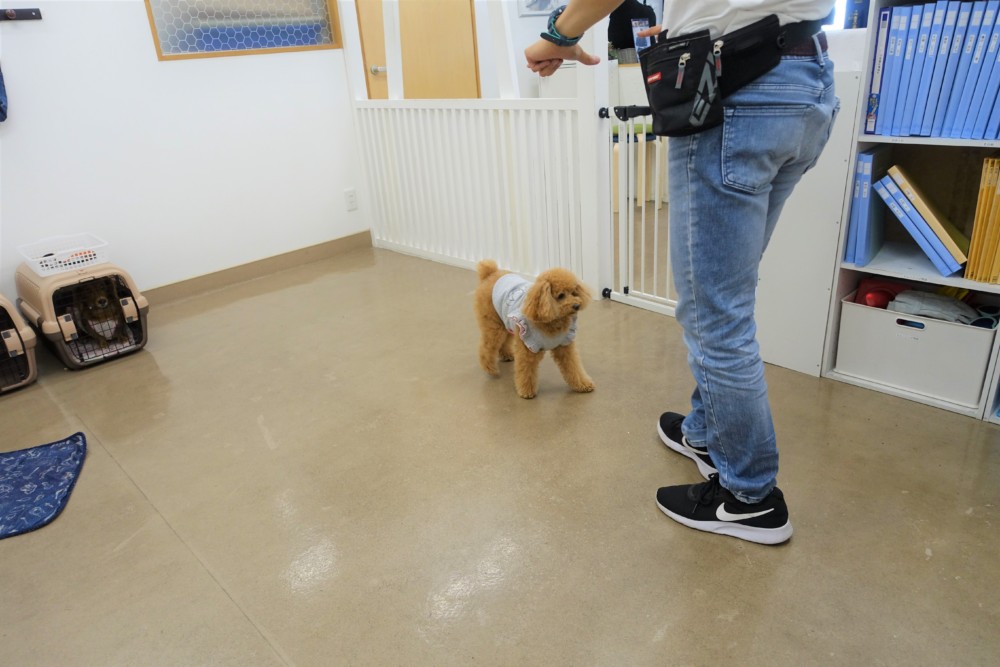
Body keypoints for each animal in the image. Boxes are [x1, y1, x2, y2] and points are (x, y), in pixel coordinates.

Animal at [474, 259, 594, 399]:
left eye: (574, 292)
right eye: (561, 295)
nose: (576, 305)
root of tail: (490, 273)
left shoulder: (564, 346)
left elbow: (573, 366)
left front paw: (582, 384)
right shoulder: (527, 346)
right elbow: (526, 370)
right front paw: (526, 391)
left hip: (507, 323)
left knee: (504, 340)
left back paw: (506, 355)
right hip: (493, 325)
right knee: (487, 346)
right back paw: (490, 369)